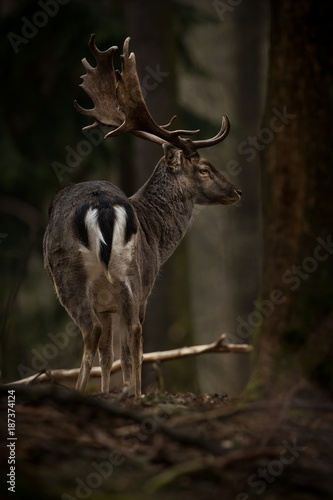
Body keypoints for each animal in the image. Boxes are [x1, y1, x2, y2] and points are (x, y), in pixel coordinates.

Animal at [44, 35, 241, 396]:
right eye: (205, 169)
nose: (237, 191)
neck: (155, 232)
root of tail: (102, 207)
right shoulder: (126, 296)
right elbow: (111, 354)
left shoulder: (115, 299)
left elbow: (111, 351)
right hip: (126, 276)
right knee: (124, 332)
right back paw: (125, 393)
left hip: (92, 277)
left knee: (111, 332)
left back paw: (120, 393)